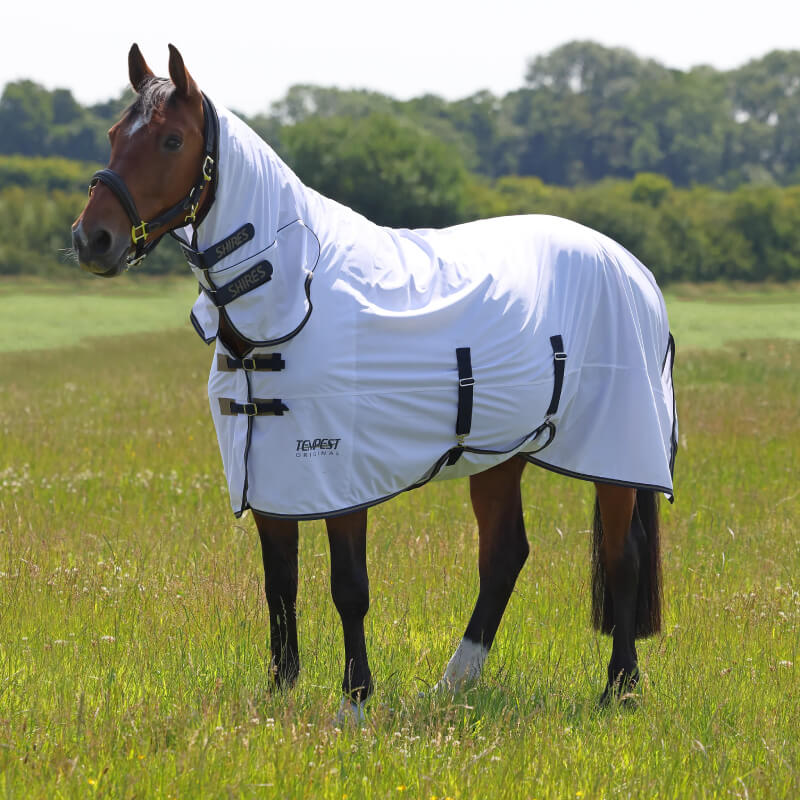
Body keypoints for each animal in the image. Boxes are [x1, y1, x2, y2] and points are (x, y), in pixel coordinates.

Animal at [71, 44, 676, 718]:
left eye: (172, 140)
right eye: (113, 133)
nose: (92, 239)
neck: (294, 294)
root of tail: (632, 267)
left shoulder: (340, 477)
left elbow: (348, 587)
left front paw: (354, 701)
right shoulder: (271, 475)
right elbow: (279, 584)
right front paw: (281, 691)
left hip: (617, 454)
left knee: (622, 557)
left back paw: (619, 688)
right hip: (501, 453)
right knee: (504, 555)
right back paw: (455, 682)